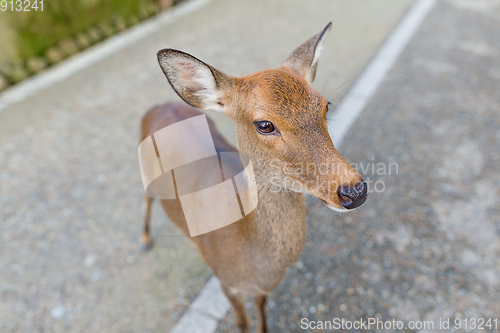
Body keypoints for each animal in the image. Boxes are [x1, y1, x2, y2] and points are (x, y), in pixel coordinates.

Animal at [140, 22, 368, 330]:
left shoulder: (261, 289)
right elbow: (242, 322)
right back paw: (144, 239)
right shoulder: (226, 281)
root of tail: (156, 108)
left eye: (325, 105)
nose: (353, 191)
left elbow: (261, 312)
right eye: (264, 124)